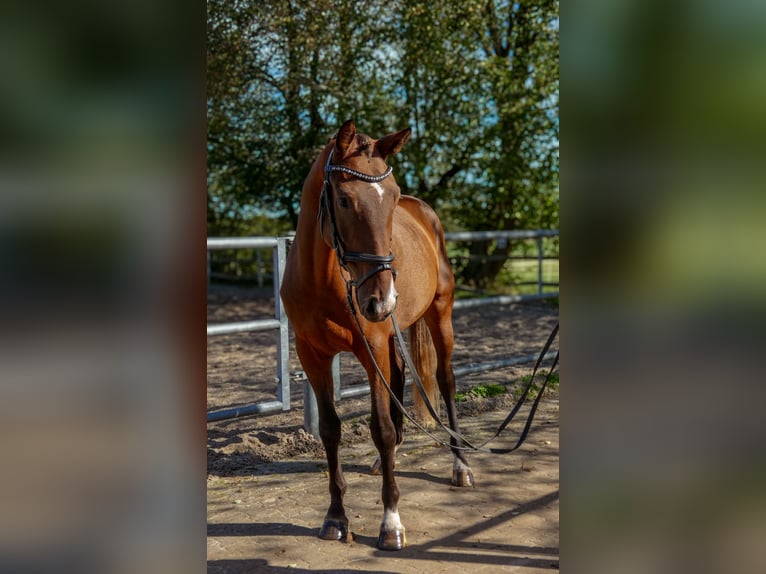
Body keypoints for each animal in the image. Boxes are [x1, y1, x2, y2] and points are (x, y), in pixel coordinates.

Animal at [280, 119, 473, 551]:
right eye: (344, 200)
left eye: (393, 198)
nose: (382, 300)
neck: (324, 280)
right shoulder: (312, 355)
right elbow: (330, 430)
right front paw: (336, 517)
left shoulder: (372, 350)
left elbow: (380, 428)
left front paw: (391, 524)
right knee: (401, 378)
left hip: (439, 315)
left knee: (446, 381)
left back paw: (461, 465)